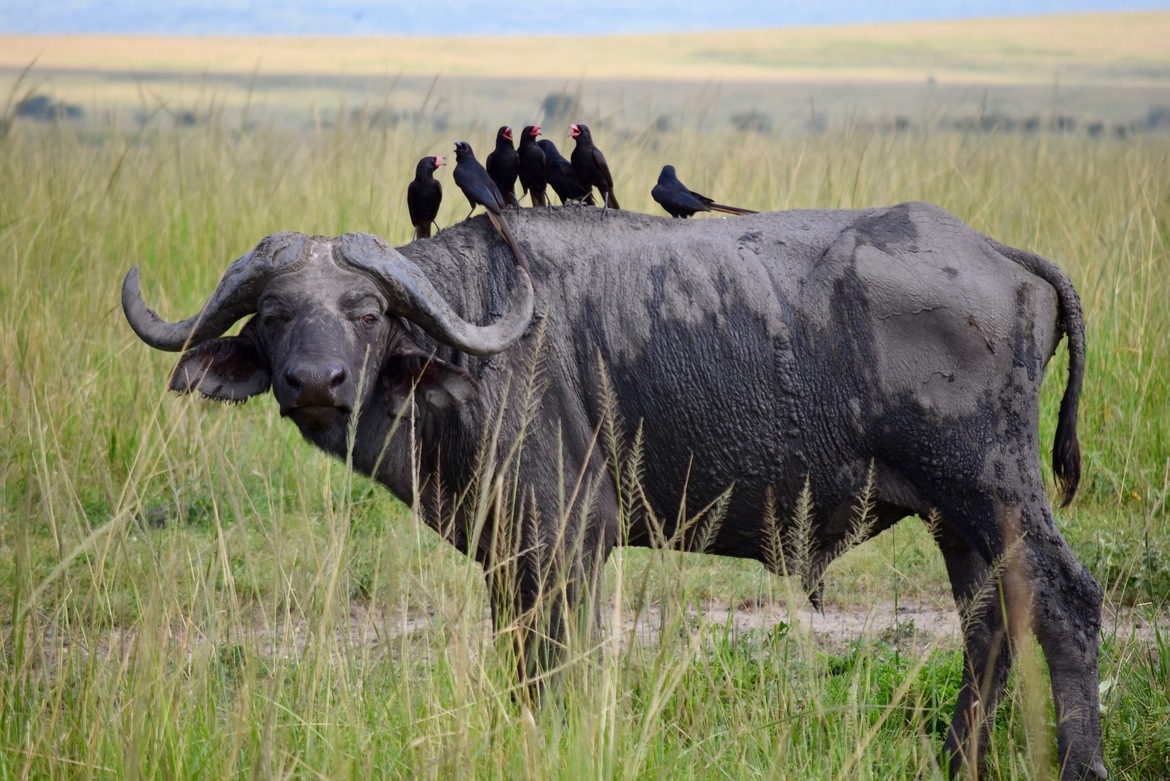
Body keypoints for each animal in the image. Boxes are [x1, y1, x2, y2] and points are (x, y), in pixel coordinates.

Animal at [122, 204, 1105, 780]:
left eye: (365, 313)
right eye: (275, 313)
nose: (315, 382)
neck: (473, 350)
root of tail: (999, 254)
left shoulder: (565, 543)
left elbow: (563, 663)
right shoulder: (509, 558)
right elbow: (524, 663)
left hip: (995, 488)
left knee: (1064, 604)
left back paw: (1078, 764)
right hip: (959, 518)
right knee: (989, 619)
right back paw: (955, 759)